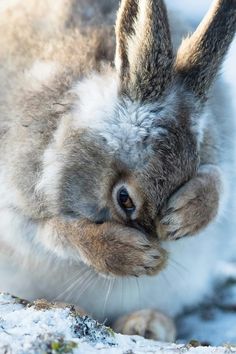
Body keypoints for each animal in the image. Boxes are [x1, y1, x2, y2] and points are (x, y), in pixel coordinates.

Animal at [0, 0, 235, 342]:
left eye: (187, 176)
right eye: (124, 200)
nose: (159, 253)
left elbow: (218, 181)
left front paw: (183, 215)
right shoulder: (16, 206)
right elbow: (51, 234)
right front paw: (130, 254)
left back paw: (148, 324)